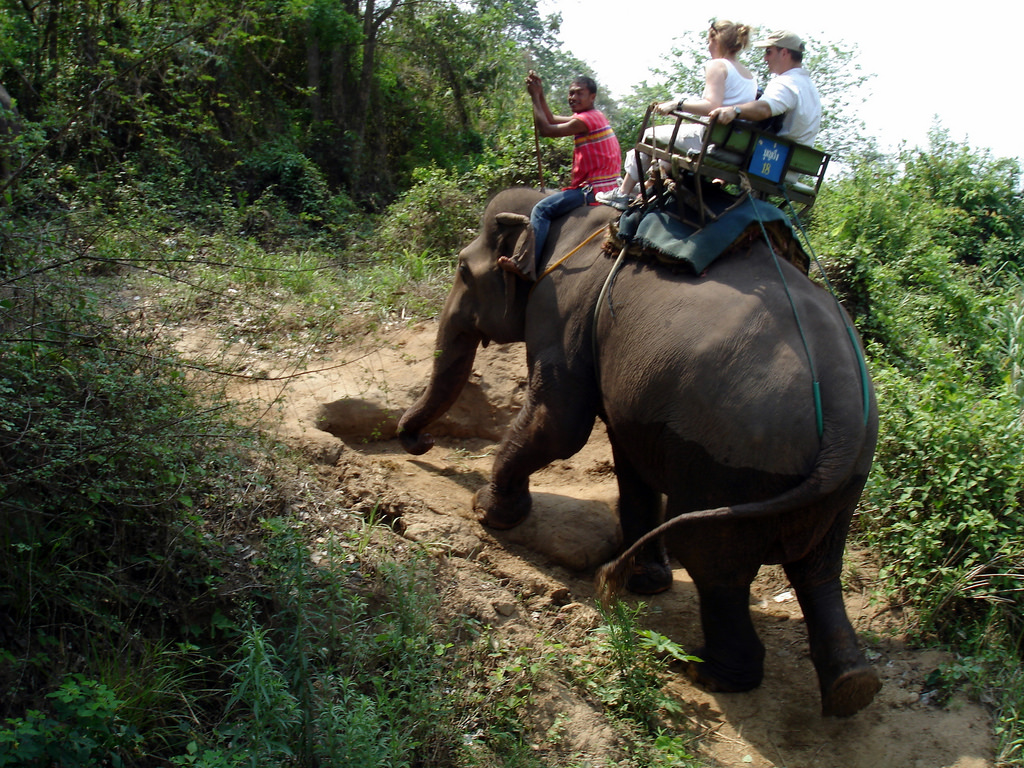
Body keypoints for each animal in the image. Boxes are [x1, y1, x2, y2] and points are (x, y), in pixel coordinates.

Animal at [397, 186, 881, 717]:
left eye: (463, 270)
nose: (418, 442)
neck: (565, 217)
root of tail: (840, 427)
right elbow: (630, 457)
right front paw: (646, 582)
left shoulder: (561, 307)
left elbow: (561, 423)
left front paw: (487, 512)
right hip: (840, 489)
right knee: (819, 571)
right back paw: (853, 688)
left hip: (730, 469)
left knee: (717, 564)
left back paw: (708, 673)